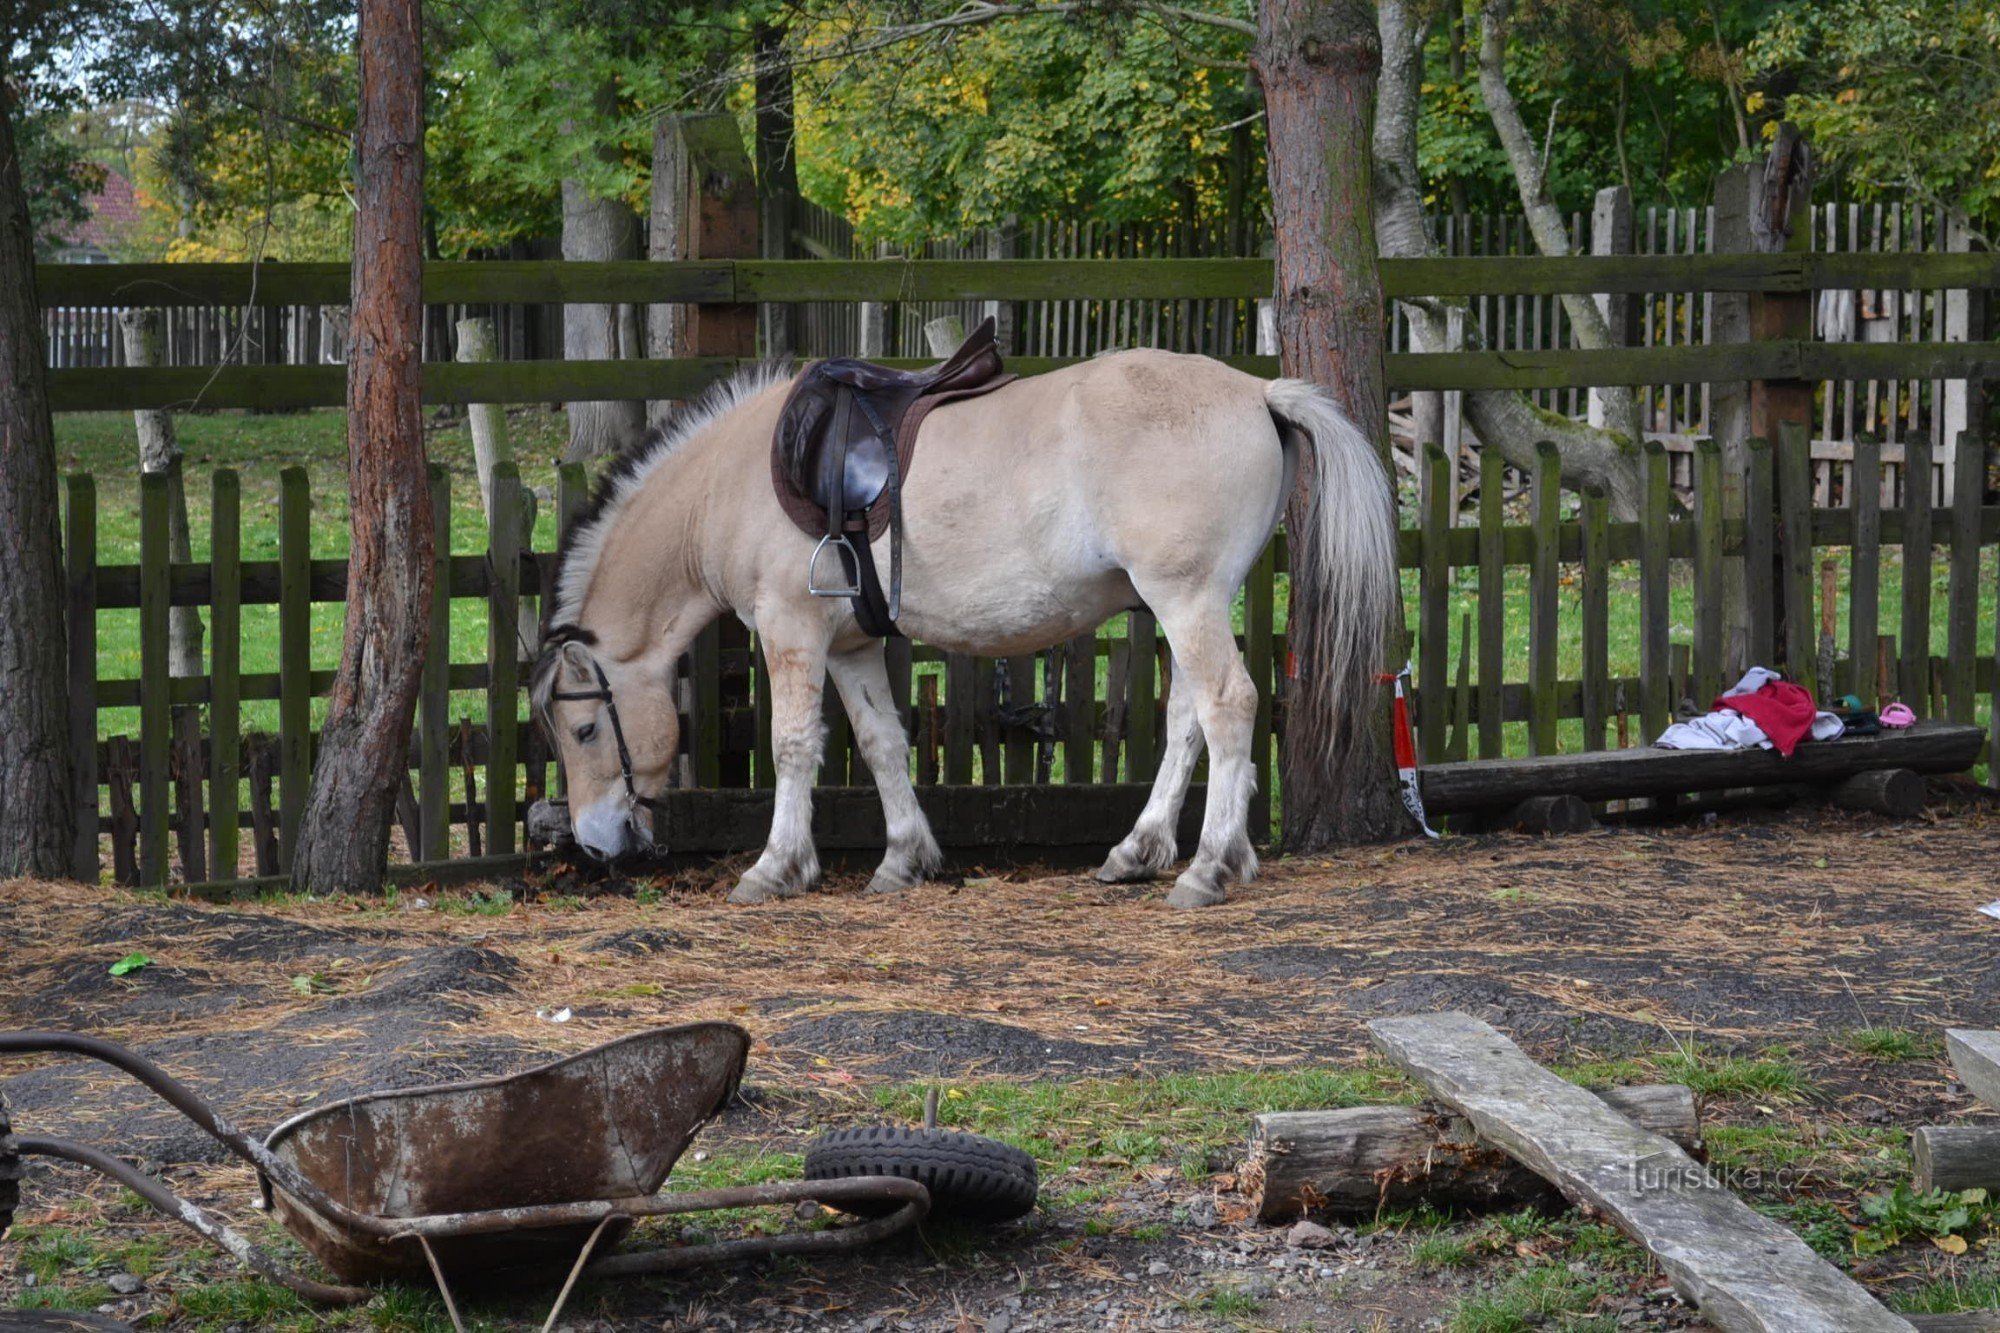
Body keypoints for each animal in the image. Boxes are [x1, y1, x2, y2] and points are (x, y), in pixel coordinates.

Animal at [540, 344, 1400, 904]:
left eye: (583, 731)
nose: (593, 842)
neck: (736, 478)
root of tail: (1258, 391)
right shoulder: (851, 646)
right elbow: (882, 745)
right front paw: (904, 858)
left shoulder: (794, 633)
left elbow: (791, 748)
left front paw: (776, 867)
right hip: (1184, 604)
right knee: (1190, 718)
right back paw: (1142, 849)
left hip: (1185, 600)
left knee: (1228, 707)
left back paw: (1210, 865)